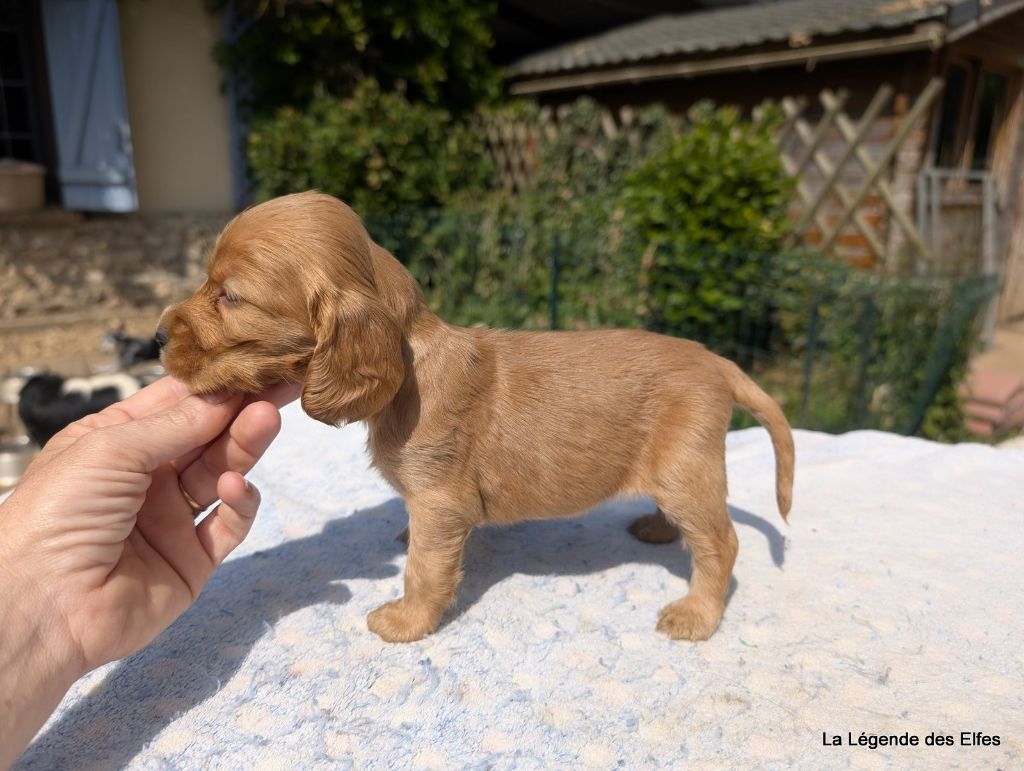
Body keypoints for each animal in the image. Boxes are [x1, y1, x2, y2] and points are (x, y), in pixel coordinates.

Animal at [158, 191, 795, 643]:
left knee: (721, 543)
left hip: (687, 468)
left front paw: (406, 622)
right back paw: (658, 530)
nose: (157, 337)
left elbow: (424, 568)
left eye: (230, 297)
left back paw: (696, 614)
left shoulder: (442, 502)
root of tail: (716, 359)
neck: (413, 366)